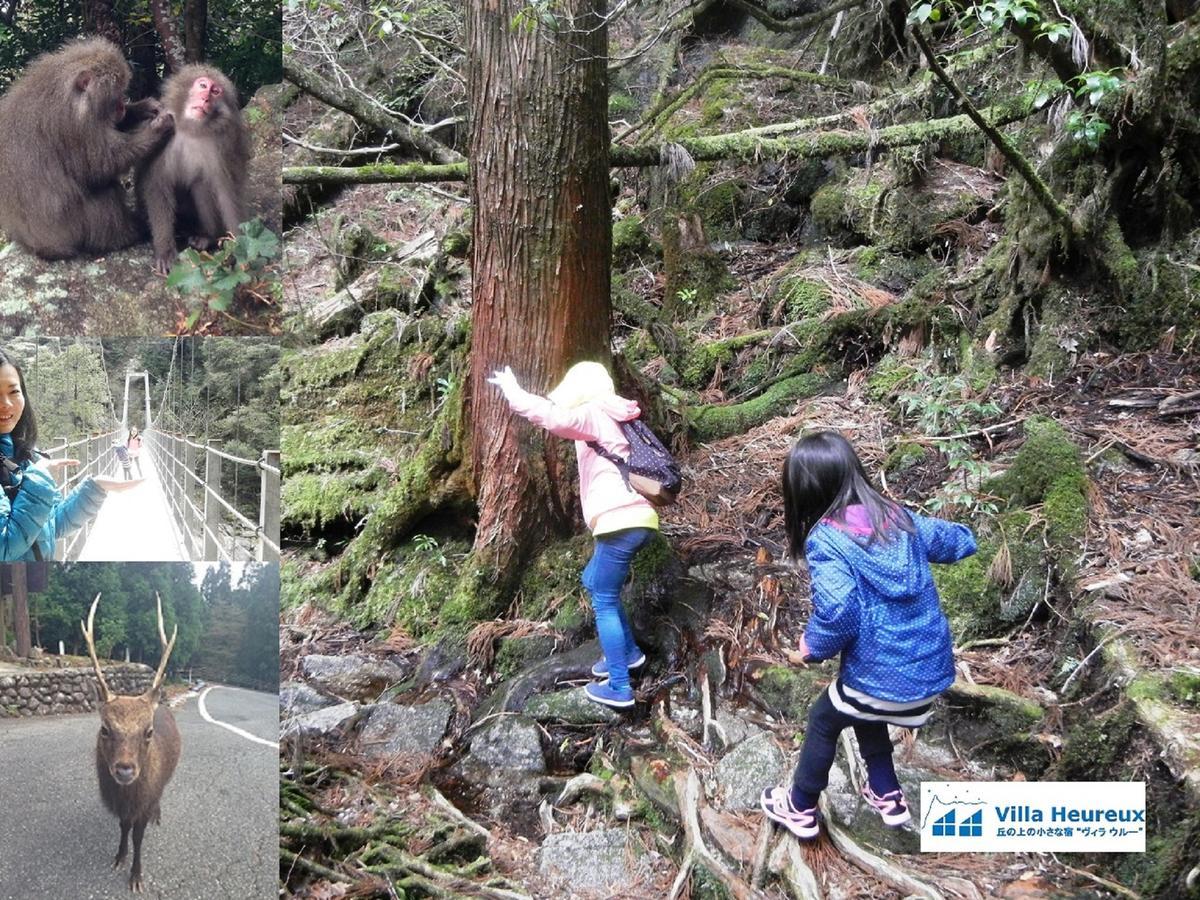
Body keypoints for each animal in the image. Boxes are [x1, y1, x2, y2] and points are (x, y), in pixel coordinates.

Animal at [0, 41, 175, 262]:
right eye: (115, 93)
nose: (121, 106)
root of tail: (38, 247)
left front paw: (142, 107)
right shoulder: (75, 124)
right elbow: (100, 166)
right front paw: (157, 128)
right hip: (72, 229)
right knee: (106, 191)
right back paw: (128, 235)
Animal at [82, 592, 181, 897]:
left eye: (148, 732)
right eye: (105, 728)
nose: (125, 769)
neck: (128, 797)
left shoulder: (144, 801)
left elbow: (138, 837)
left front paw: (136, 876)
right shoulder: (122, 808)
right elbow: (123, 827)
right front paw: (119, 857)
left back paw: (159, 815)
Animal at [135, 65, 249, 277]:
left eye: (215, 91)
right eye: (202, 86)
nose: (205, 98)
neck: (192, 129)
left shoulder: (226, 142)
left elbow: (227, 191)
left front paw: (240, 247)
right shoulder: (161, 132)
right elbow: (156, 184)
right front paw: (165, 251)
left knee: (201, 185)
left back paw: (206, 236)